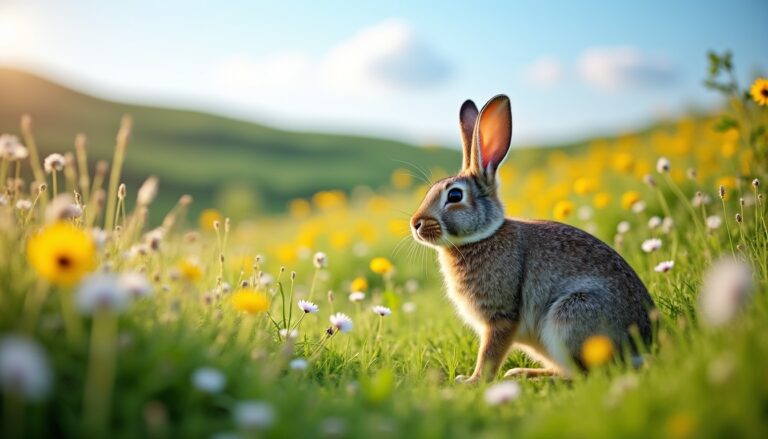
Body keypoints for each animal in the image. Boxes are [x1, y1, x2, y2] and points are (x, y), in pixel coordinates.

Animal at [410, 95, 655, 382]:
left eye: (455, 196)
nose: (415, 224)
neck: (481, 237)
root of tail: (643, 345)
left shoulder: (501, 317)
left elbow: (489, 353)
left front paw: (471, 382)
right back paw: (522, 372)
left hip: (571, 317)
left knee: (585, 374)